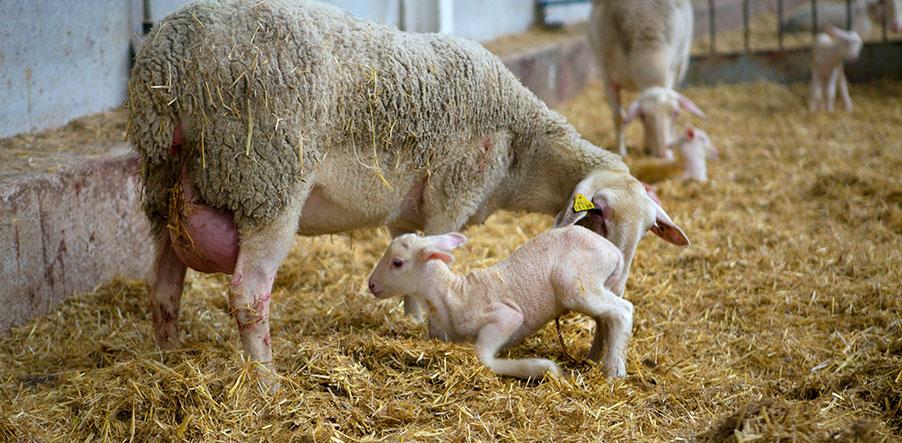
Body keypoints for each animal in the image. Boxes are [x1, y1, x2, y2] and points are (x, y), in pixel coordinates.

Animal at [367, 229, 633, 379]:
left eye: (397, 262)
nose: (371, 284)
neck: (452, 295)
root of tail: (614, 252)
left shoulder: (505, 315)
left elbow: (483, 356)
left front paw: (543, 368)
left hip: (576, 285)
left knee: (623, 310)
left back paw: (614, 372)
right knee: (608, 318)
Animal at [588, 0, 705, 158]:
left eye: (676, 113)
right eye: (642, 116)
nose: (663, 155)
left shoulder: (676, 69)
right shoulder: (608, 76)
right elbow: (618, 118)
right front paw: (621, 152)